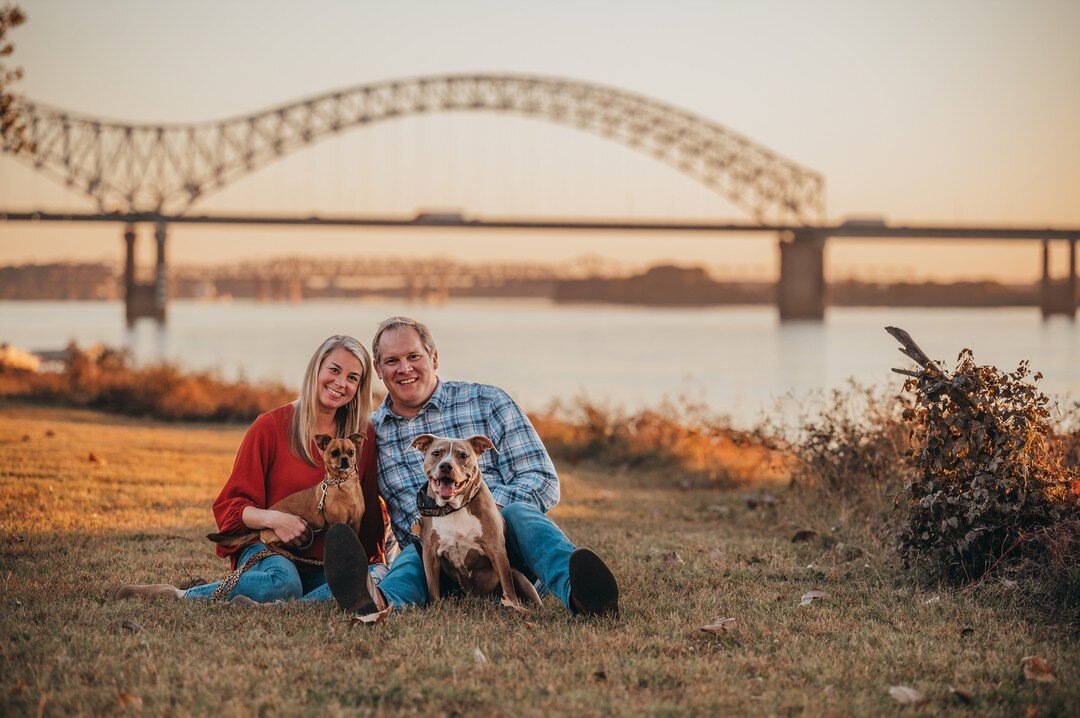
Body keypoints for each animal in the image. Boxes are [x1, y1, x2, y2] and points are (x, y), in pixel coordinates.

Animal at [206, 431, 367, 552]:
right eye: (334, 453)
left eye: (351, 452)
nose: (345, 459)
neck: (343, 483)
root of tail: (262, 527)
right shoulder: (338, 524)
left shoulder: (356, 524)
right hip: (279, 534)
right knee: (267, 542)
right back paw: (285, 553)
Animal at [408, 431, 540, 608]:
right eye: (436, 453)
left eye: (463, 455)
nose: (446, 466)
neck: (453, 508)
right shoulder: (430, 553)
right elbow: (433, 587)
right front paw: (435, 607)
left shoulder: (496, 550)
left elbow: (507, 585)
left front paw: (513, 605)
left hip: (519, 576)